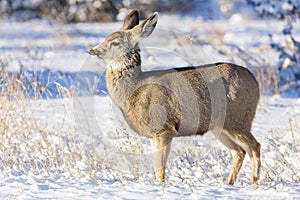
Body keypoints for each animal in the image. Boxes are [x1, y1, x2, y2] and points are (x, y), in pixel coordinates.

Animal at [88, 9, 262, 184]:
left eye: (115, 43)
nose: (92, 50)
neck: (134, 91)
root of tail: (255, 82)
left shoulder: (164, 128)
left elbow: (160, 168)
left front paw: (160, 185)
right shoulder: (152, 134)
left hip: (238, 119)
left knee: (255, 146)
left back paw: (254, 180)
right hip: (220, 125)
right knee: (239, 151)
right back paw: (229, 183)